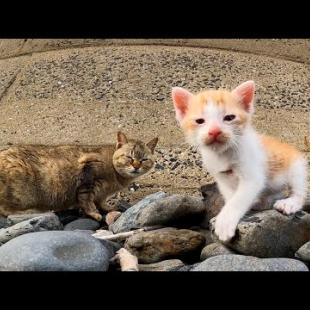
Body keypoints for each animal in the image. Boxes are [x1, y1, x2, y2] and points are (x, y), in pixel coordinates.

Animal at [0, 132, 157, 222]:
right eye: (129, 157)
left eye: (144, 159)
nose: (136, 166)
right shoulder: (88, 178)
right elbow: (87, 201)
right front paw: (94, 213)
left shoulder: (101, 193)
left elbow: (101, 201)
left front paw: (107, 207)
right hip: (20, 191)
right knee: (5, 210)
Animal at [172, 80, 308, 242]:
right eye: (199, 121)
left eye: (229, 118)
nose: (215, 131)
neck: (223, 154)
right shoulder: (222, 178)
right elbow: (231, 196)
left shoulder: (252, 177)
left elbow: (238, 199)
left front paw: (224, 222)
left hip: (297, 166)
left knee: (299, 191)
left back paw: (289, 203)